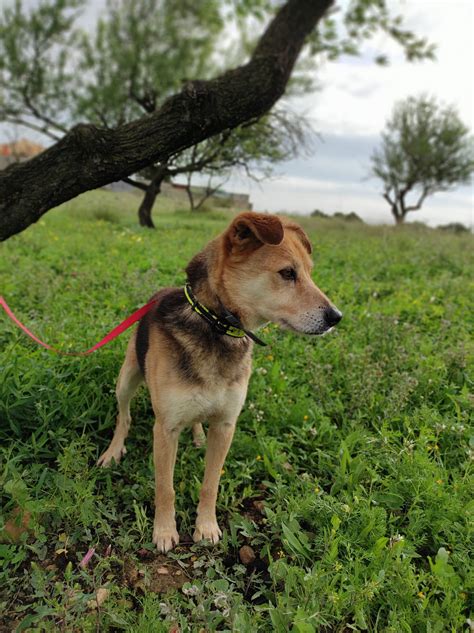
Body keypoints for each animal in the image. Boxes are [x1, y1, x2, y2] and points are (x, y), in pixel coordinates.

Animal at [98, 210, 340, 552]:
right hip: (127, 378)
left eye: (309, 272)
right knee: (125, 416)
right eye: (287, 273)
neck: (216, 323)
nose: (336, 317)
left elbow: (210, 483)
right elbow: (165, 487)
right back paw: (114, 450)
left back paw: (198, 436)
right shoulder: (166, 428)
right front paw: (164, 531)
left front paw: (206, 527)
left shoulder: (226, 424)